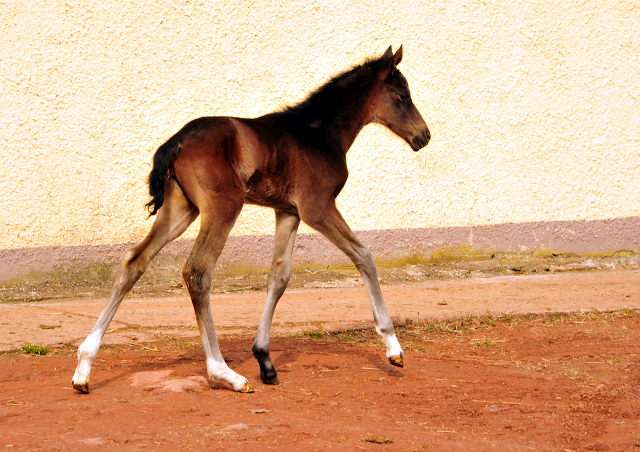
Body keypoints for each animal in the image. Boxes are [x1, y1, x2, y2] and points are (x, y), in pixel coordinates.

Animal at [71, 45, 430, 392]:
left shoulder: (288, 212)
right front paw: (393, 347)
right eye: (403, 95)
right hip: (224, 207)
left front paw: (265, 360)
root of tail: (176, 142)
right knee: (198, 271)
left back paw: (84, 368)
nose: (423, 136)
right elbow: (364, 256)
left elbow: (279, 277)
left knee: (135, 260)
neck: (319, 134)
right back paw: (223, 373)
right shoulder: (317, 208)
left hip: (181, 210)